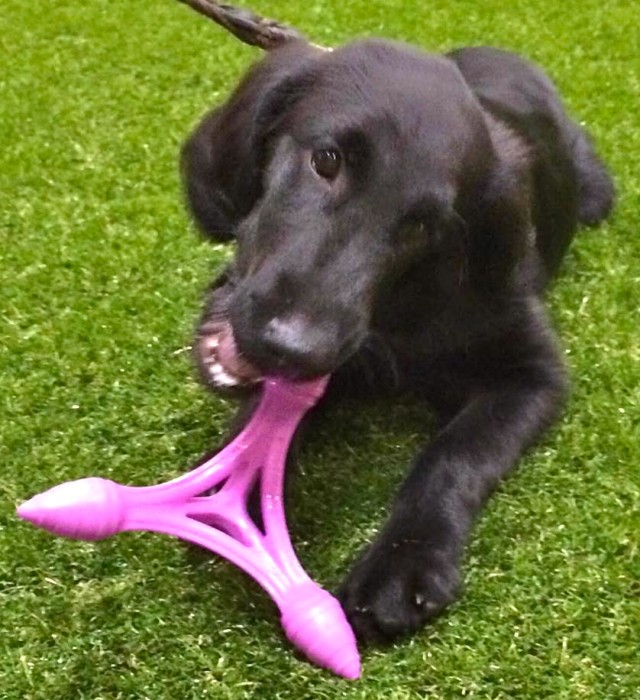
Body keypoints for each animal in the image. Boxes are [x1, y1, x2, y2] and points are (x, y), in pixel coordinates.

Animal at [178, 8, 612, 648]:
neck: (405, 304)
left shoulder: (535, 375)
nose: (294, 348)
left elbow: (455, 451)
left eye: (424, 226)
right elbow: (261, 424)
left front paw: (404, 560)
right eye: (326, 160)